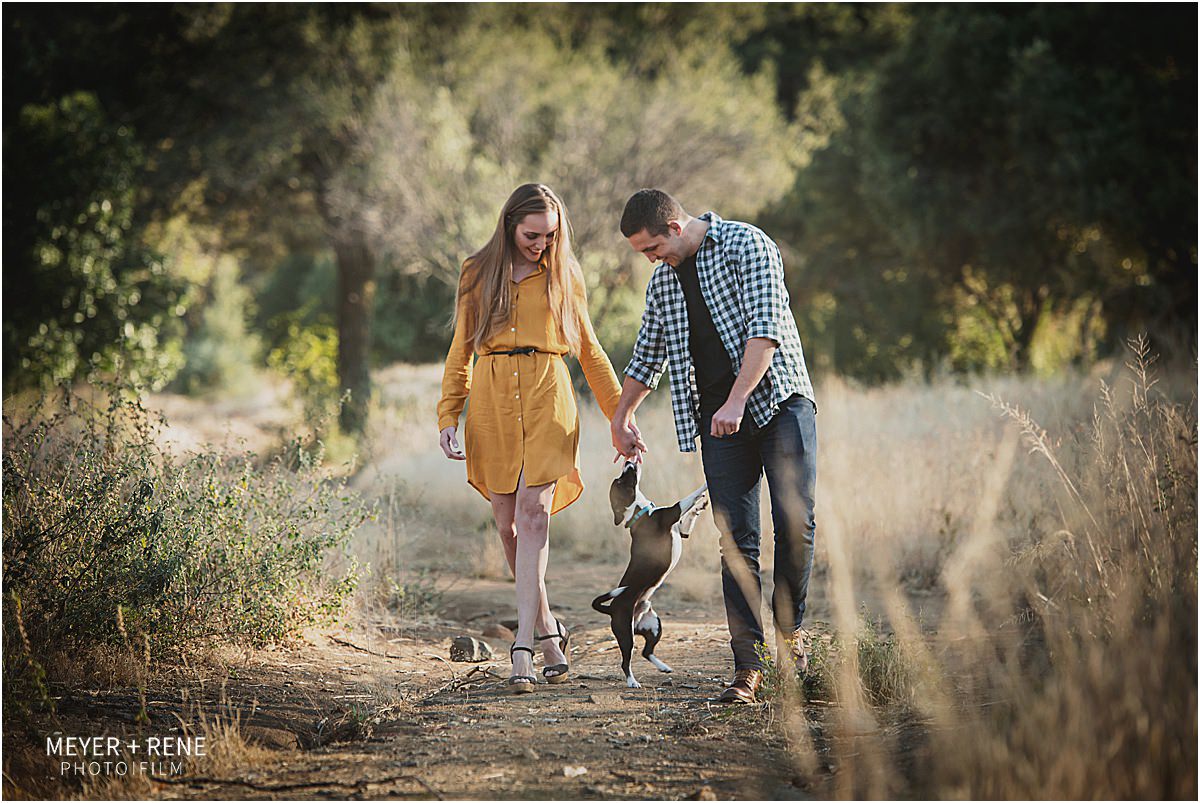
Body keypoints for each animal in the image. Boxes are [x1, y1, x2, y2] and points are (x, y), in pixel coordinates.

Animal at [592, 460, 705, 686]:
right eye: (621, 481)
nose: (628, 461)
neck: (639, 512)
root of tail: (611, 609)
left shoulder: (682, 530)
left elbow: (690, 515)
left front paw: (699, 506)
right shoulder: (672, 512)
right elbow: (689, 497)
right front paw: (705, 484)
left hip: (654, 626)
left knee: (646, 652)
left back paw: (663, 667)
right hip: (626, 635)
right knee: (626, 661)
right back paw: (632, 681)